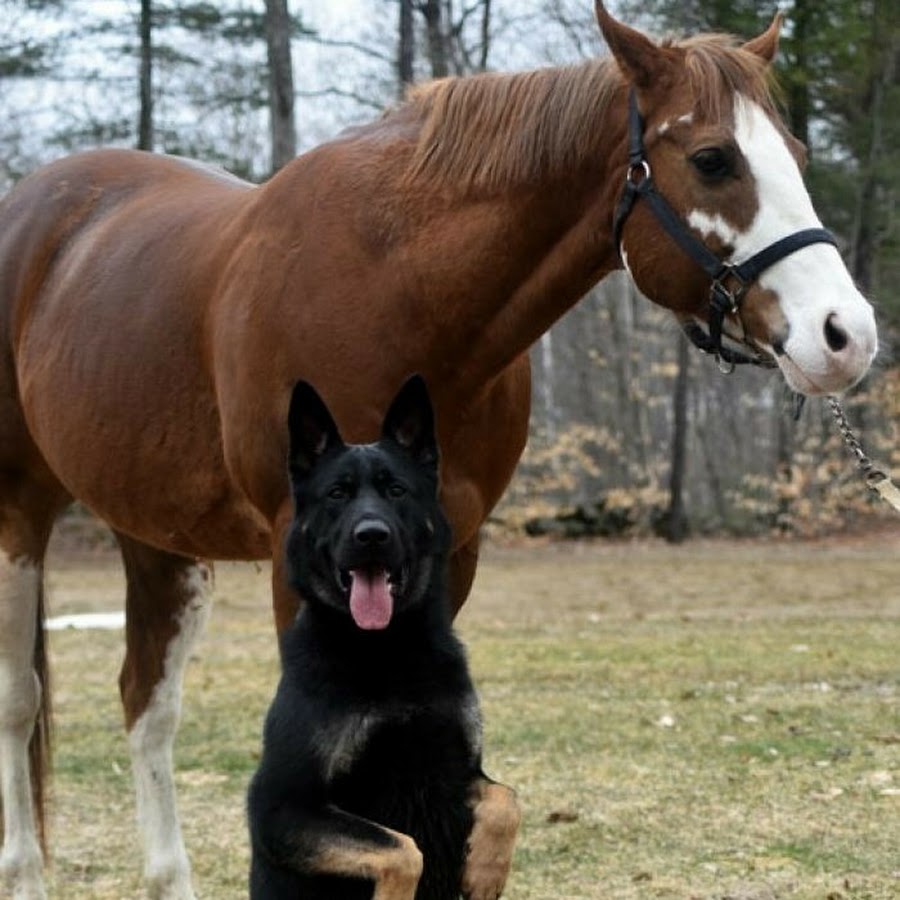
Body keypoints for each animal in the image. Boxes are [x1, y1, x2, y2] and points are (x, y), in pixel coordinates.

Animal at [248, 376, 520, 900]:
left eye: (397, 490)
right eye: (337, 494)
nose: (371, 534)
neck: (389, 648)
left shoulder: (463, 773)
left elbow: (505, 797)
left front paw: (486, 871)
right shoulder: (281, 807)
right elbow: (402, 849)